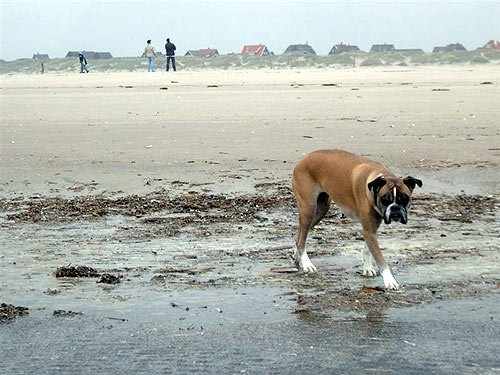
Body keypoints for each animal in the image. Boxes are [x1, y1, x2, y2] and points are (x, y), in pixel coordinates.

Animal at [292, 150, 422, 290]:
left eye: (405, 199)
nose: (395, 210)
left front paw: (367, 268)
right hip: (309, 209)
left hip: (321, 210)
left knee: (300, 234)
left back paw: (297, 256)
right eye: (385, 199)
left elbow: (367, 250)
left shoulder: (371, 230)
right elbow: (380, 258)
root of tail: (304, 158)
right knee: (302, 240)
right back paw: (307, 264)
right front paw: (389, 280)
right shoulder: (369, 230)